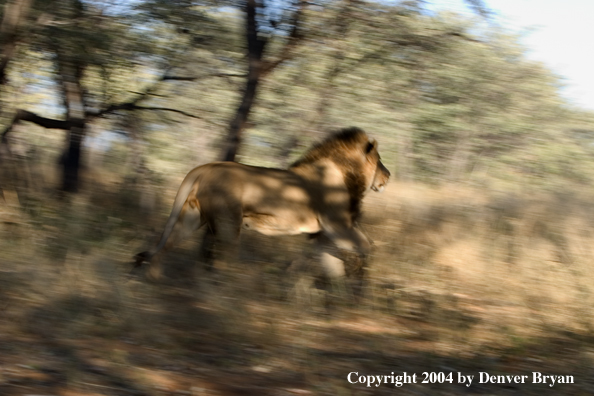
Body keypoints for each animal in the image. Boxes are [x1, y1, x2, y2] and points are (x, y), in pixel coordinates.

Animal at [136, 128, 390, 280]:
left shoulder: (323, 234)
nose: (388, 176)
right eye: (379, 160)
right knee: (224, 262)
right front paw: (359, 285)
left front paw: (336, 298)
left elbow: (332, 266)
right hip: (228, 224)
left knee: (164, 246)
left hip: (191, 217)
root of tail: (205, 167)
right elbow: (368, 247)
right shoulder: (339, 226)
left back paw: (153, 281)